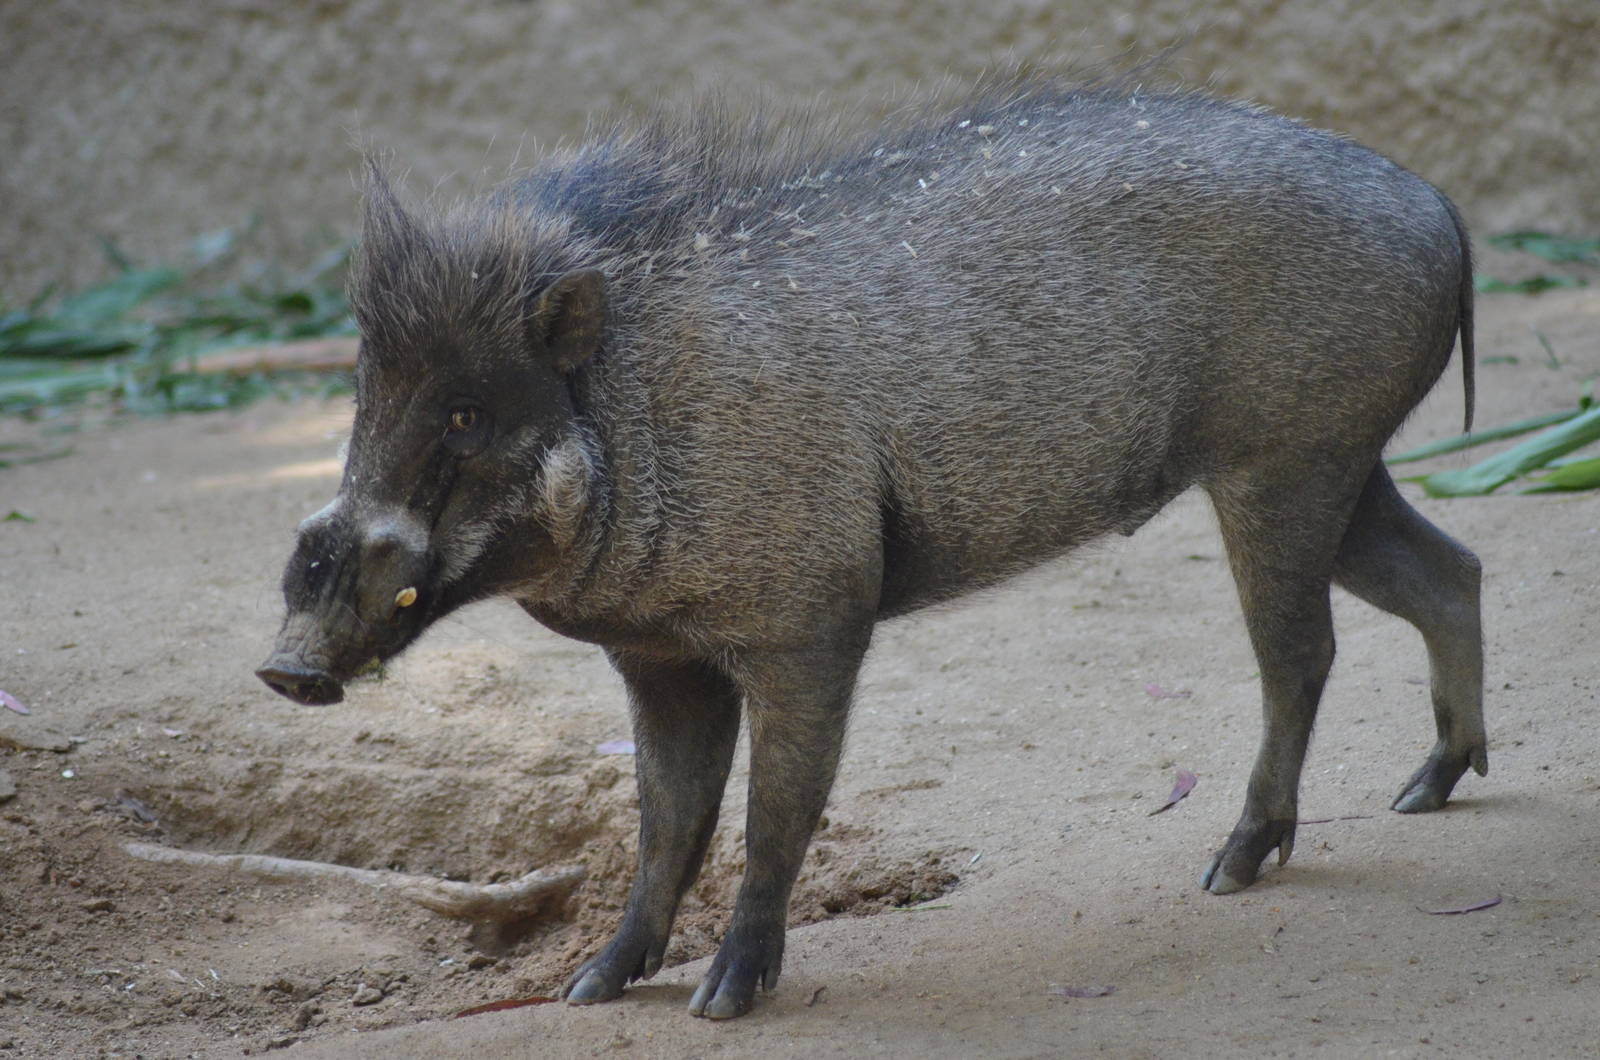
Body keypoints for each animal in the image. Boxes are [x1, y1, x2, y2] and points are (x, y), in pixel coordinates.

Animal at [258, 76, 1485, 1020]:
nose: (285, 668)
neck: (637, 404)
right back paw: (1428, 789)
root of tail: (1439, 205)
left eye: (464, 413)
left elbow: (772, 817)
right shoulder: (663, 661)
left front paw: (725, 1001)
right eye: (365, 396)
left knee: (1300, 655)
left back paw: (1234, 865)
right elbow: (667, 826)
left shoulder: (809, 628)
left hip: (1284, 468)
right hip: (1343, 470)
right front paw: (596, 987)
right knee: (1451, 574)